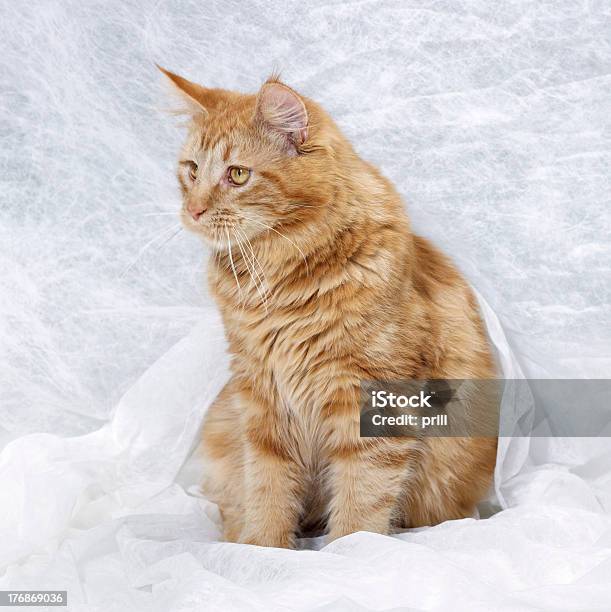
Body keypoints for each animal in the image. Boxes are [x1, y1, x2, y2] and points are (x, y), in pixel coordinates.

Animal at [160, 68, 500, 548]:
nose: (192, 210)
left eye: (238, 174)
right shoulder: (261, 393)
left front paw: (348, 554)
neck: (280, 283)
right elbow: (267, 487)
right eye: (191, 170)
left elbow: (362, 498)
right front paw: (262, 549)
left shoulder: (373, 395)